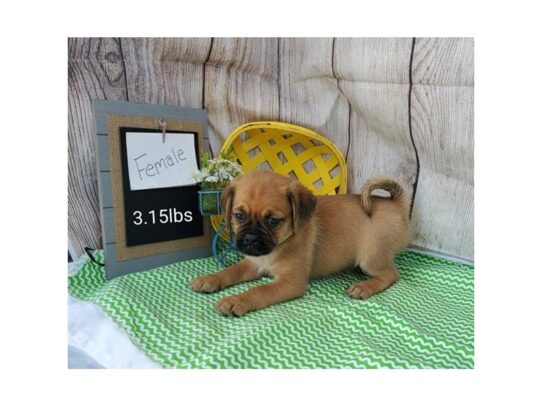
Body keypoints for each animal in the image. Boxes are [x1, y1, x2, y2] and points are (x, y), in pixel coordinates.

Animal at [191, 171, 412, 318]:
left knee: (391, 274)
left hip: (371, 258)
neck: (276, 248)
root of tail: (395, 204)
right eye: (239, 216)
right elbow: (230, 271)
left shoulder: (290, 283)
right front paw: (209, 279)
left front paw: (236, 300)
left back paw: (364, 287)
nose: (250, 238)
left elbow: (259, 291)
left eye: (273, 221)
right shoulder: (253, 263)